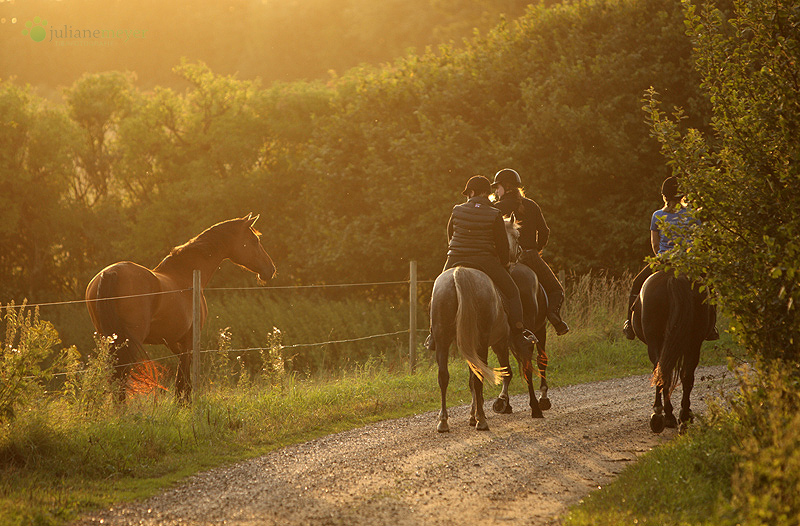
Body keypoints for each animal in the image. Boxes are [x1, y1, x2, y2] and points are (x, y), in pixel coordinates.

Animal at [85, 214, 276, 400]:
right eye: (255, 240)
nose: (271, 269)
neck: (184, 275)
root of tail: (110, 273)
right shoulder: (189, 340)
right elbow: (181, 380)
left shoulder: (173, 341)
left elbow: (185, 378)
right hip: (129, 341)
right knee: (121, 378)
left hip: (109, 340)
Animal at [632, 272, 712, 434]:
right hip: (694, 343)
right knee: (684, 375)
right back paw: (683, 417)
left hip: (657, 342)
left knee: (662, 371)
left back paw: (661, 415)